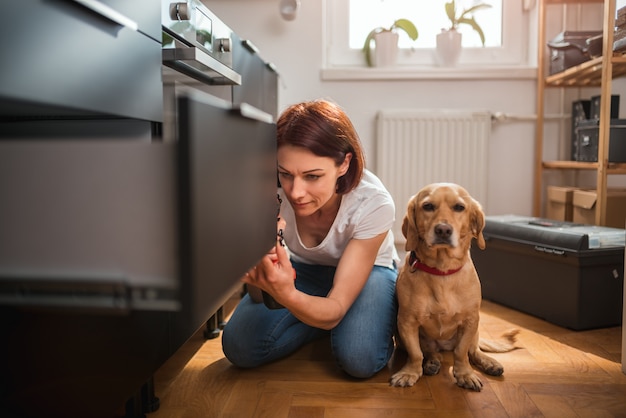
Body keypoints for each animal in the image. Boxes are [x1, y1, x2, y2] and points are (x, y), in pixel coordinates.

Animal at [390, 183, 516, 392]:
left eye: (459, 207)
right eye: (428, 206)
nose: (443, 230)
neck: (442, 272)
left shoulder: (470, 321)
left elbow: (461, 352)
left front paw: (464, 374)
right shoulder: (406, 322)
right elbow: (415, 354)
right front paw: (410, 372)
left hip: (475, 332)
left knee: (474, 350)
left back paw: (489, 362)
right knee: (430, 352)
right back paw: (432, 362)